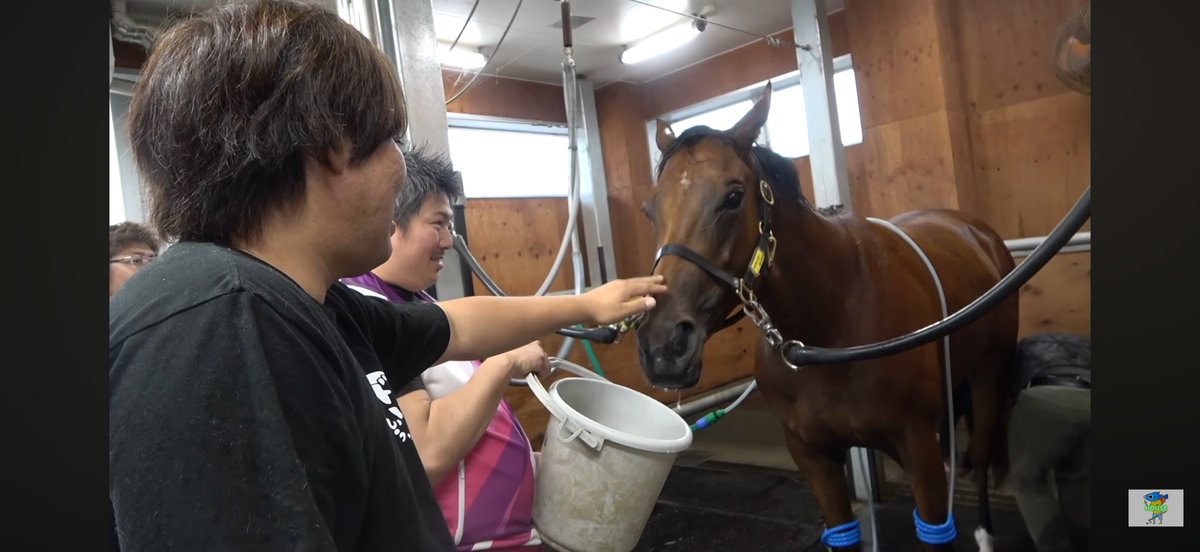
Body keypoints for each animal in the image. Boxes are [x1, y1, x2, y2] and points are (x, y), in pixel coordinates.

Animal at [634, 83, 1018, 551]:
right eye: (651, 209)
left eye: (734, 196)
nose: (663, 344)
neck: (834, 321)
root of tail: (976, 232)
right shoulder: (813, 456)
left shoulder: (917, 448)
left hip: (988, 377)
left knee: (979, 457)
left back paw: (984, 533)